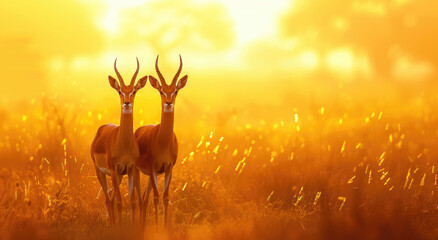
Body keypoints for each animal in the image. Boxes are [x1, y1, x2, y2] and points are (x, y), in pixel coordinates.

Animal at [90, 58, 147, 225]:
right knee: (109, 200)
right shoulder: (114, 169)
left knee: (111, 198)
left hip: (119, 176)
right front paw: (120, 228)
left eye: (133, 91)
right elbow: (120, 203)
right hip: (101, 172)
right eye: (120, 91)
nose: (127, 103)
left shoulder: (130, 169)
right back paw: (112, 225)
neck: (124, 145)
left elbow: (132, 202)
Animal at [134, 54, 187, 227]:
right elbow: (157, 198)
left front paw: (164, 226)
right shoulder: (152, 167)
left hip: (153, 176)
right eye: (161, 91)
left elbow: (165, 198)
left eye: (175, 90)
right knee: (140, 199)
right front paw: (157, 227)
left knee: (144, 199)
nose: (169, 103)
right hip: (138, 171)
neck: (163, 142)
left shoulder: (169, 168)